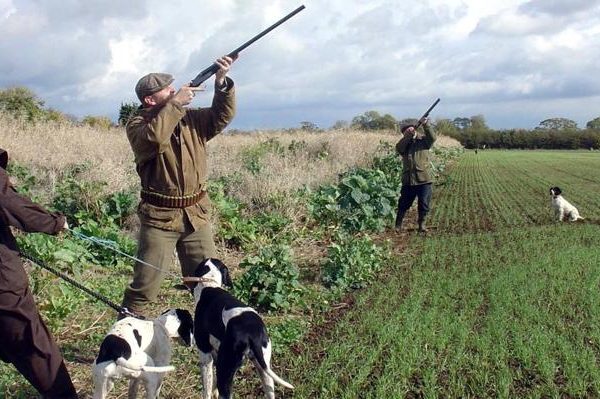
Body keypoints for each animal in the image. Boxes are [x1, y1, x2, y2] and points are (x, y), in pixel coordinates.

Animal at [184, 260, 294, 399]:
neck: (209, 285)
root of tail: (253, 333)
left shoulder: (205, 354)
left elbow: (207, 389)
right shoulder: (216, 353)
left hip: (226, 369)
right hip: (264, 370)